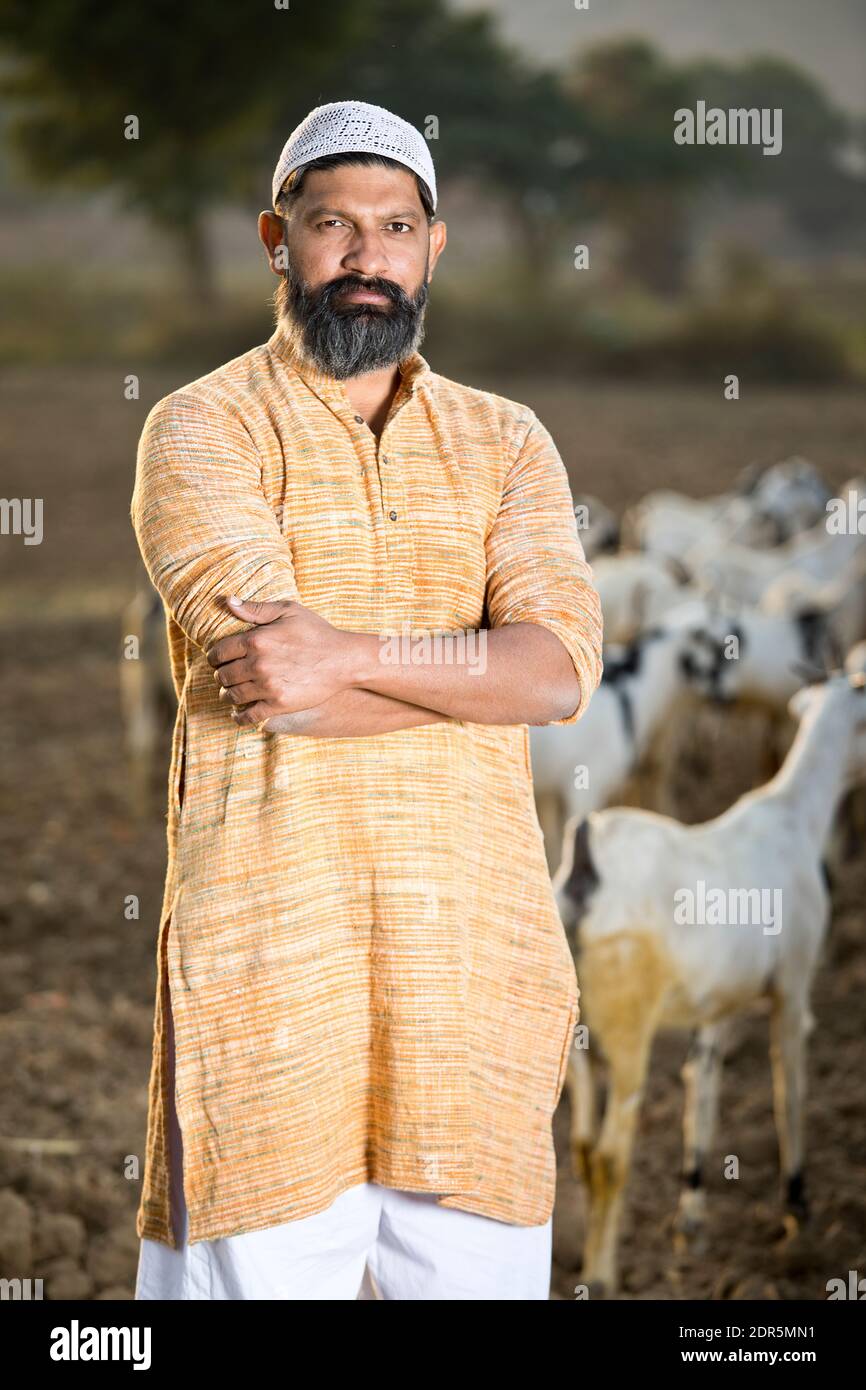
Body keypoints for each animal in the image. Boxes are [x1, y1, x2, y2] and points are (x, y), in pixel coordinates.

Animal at [553, 667, 866, 1295]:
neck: (794, 813)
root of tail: (584, 862)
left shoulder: (716, 1003)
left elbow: (703, 1084)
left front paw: (692, 1213)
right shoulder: (793, 984)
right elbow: (788, 1086)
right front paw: (798, 1206)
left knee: (581, 1148)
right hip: (626, 1034)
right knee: (610, 1156)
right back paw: (602, 1275)